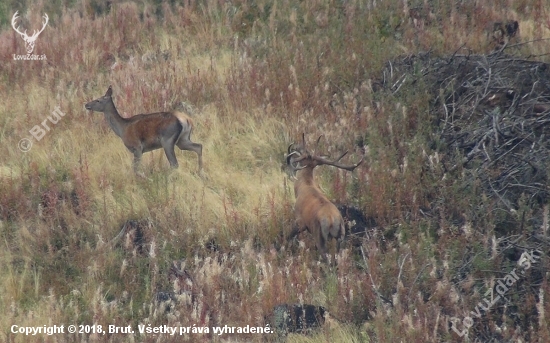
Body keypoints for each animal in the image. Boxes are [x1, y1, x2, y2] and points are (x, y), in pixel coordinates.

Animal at [286, 134, 364, 264]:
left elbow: (288, 235)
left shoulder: (300, 220)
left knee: (326, 257)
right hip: (340, 235)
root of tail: (332, 220)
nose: (295, 146)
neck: (303, 186)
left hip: (319, 233)